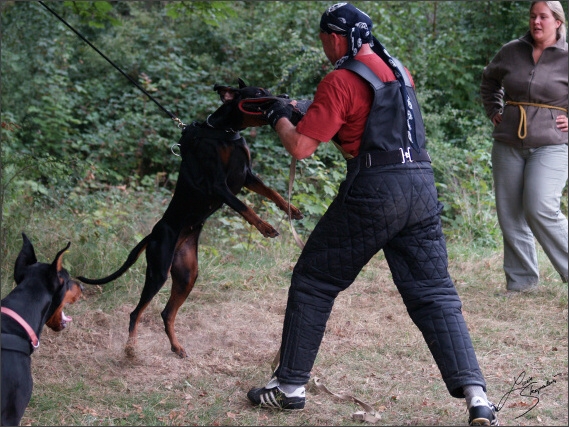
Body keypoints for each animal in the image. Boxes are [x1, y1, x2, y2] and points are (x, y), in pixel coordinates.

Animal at [77, 79, 304, 358]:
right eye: (259, 92)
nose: (284, 95)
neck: (226, 132)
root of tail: (153, 234)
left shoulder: (247, 176)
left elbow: (272, 192)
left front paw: (292, 210)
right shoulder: (219, 185)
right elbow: (243, 206)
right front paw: (265, 226)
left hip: (187, 275)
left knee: (166, 313)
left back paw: (176, 347)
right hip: (158, 271)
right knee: (136, 312)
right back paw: (131, 349)